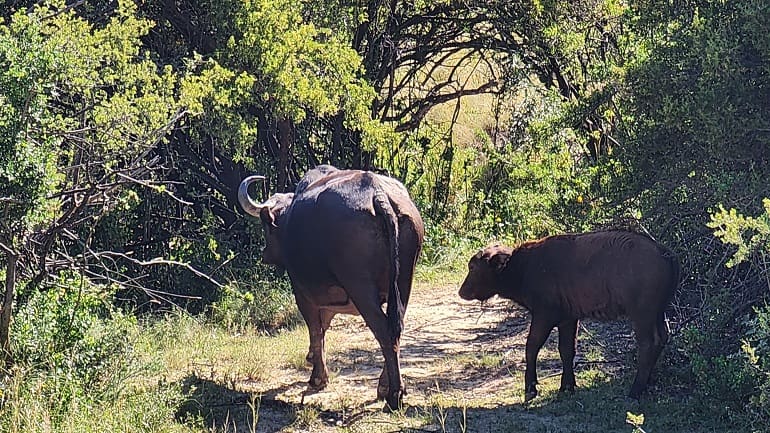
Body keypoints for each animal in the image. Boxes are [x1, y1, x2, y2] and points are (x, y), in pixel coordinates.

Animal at [238, 165, 424, 410]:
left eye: (266, 226)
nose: (265, 254)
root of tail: (377, 193)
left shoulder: (303, 294)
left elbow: (316, 330)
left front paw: (317, 377)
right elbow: (324, 327)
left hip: (360, 287)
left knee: (384, 330)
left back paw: (393, 395)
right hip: (404, 282)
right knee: (396, 327)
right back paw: (386, 387)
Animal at [458, 230, 679, 401]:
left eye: (473, 267)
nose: (462, 292)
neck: (523, 266)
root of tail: (664, 252)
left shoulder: (544, 316)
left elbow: (532, 346)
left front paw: (530, 389)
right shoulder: (568, 319)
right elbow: (566, 350)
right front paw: (567, 386)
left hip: (642, 316)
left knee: (648, 343)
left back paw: (634, 391)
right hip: (658, 314)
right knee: (662, 338)